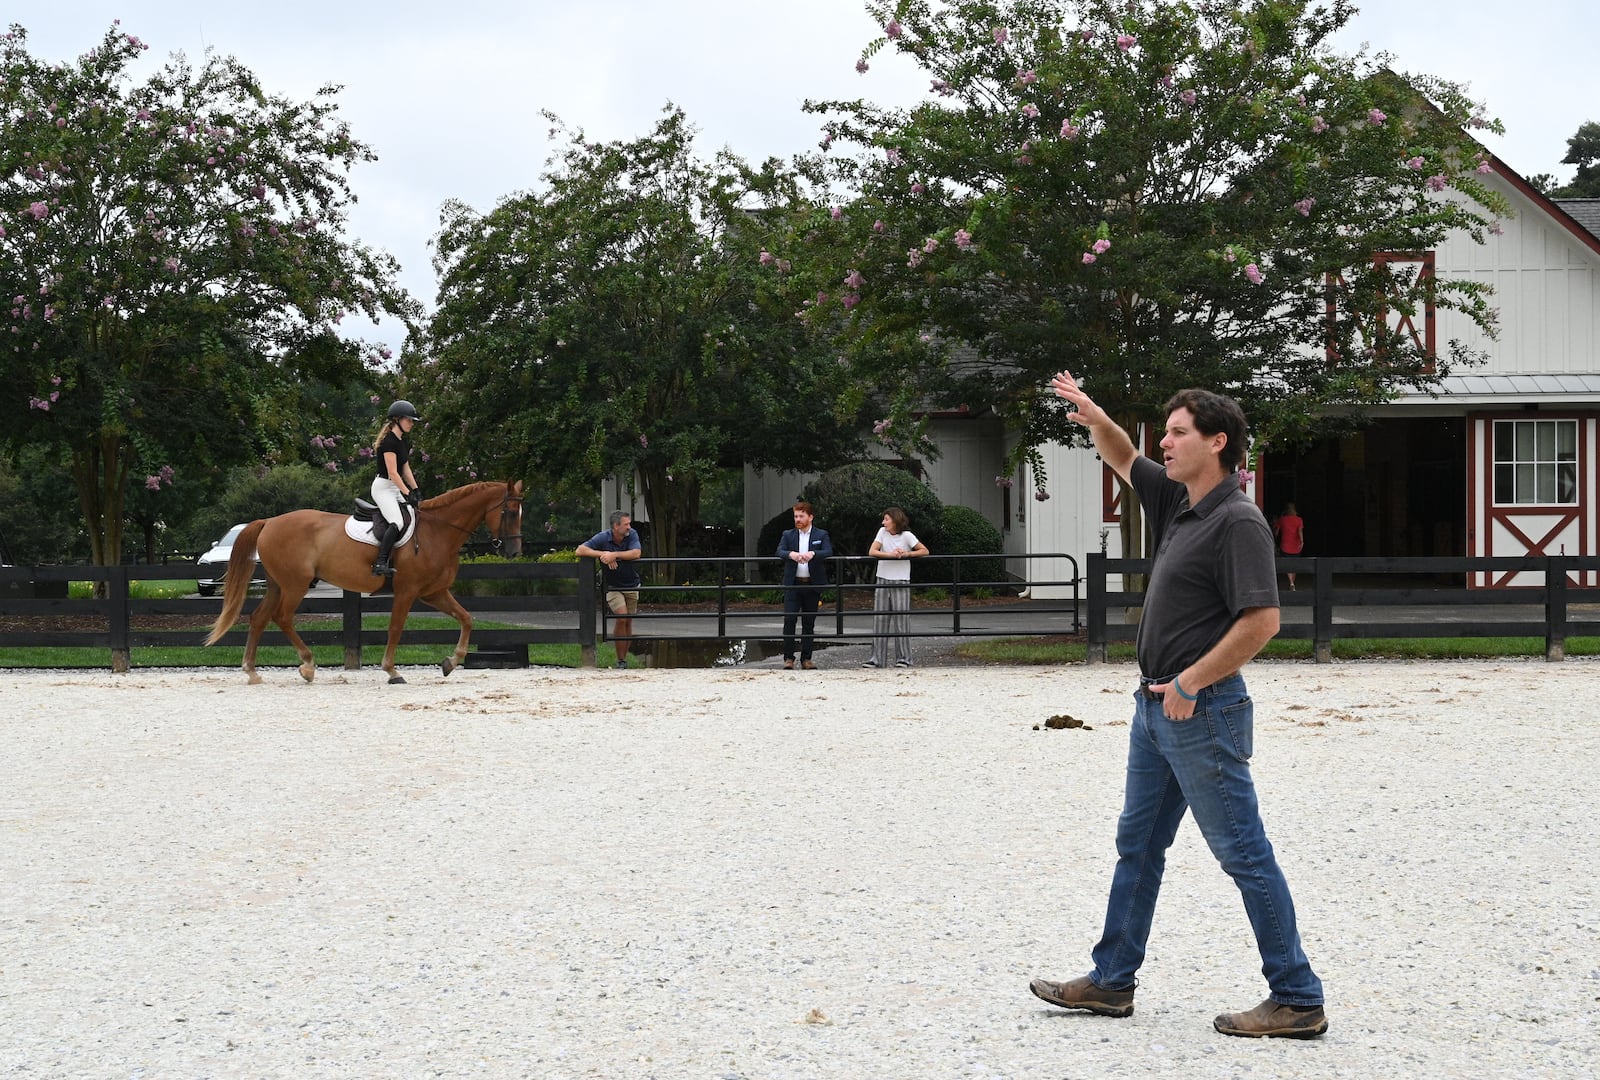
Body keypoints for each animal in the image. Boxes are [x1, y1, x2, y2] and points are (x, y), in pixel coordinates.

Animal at [206, 483, 524, 684]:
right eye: (509, 513)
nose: (514, 552)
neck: (437, 531)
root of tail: (270, 522)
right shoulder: (407, 592)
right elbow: (395, 628)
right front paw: (392, 671)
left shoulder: (434, 592)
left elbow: (467, 618)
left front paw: (451, 662)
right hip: (295, 585)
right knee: (281, 617)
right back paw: (307, 666)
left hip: (277, 585)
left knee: (259, 618)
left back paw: (251, 671)